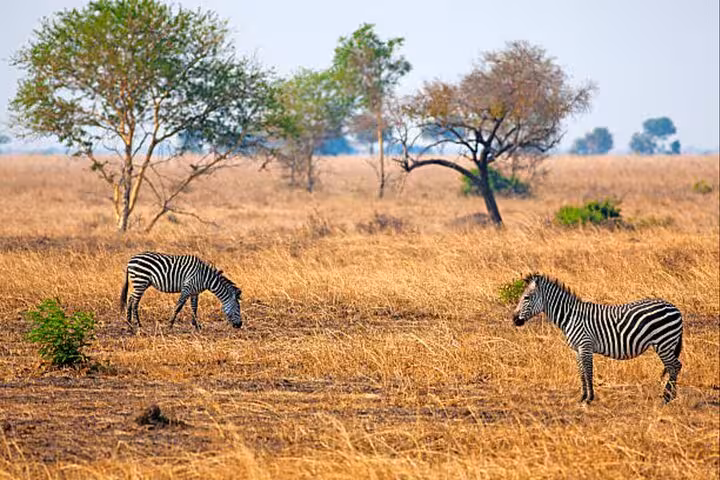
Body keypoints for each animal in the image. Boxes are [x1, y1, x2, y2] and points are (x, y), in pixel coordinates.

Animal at [512, 273, 683, 404]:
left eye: (526, 297)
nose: (514, 320)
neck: (571, 317)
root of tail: (675, 308)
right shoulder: (578, 350)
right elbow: (581, 373)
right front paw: (582, 397)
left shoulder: (585, 346)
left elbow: (588, 372)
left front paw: (589, 398)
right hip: (665, 343)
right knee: (673, 366)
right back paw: (669, 396)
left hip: (663, 342)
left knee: (675, 366)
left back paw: (668, 397)